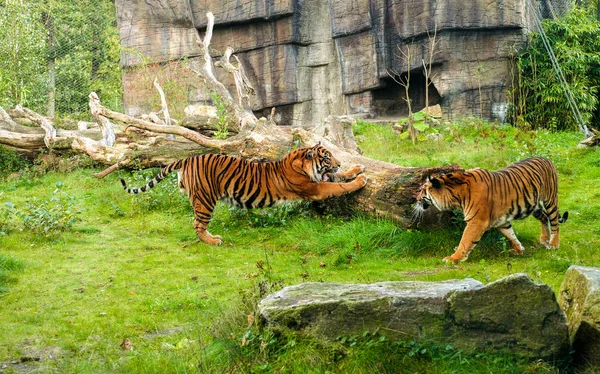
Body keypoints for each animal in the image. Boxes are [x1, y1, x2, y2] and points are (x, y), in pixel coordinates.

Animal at [120, 143, 366, 245]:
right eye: (327, 158)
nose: (339, 162)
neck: (299, 164)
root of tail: (186, 159)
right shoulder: (314, 188)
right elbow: (338, 186)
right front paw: (360, 180)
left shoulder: (318, 182)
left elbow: (338, 177)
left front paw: (356, 168)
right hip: (205, 199)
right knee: (197, 224)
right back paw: (213, 241)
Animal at [414, 157, 568, 262]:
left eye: (422, 190)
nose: (416, 198)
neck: (457, 196)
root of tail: (546, 158)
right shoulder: (501, 221)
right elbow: (510, 235)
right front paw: (519, 250)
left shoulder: (476, 221)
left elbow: (465, 241)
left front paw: (453, 258)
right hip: (534, 206)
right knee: (544, 218)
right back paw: (544, 240)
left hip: (550, 200)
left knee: (554, 222)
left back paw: (553, 244)